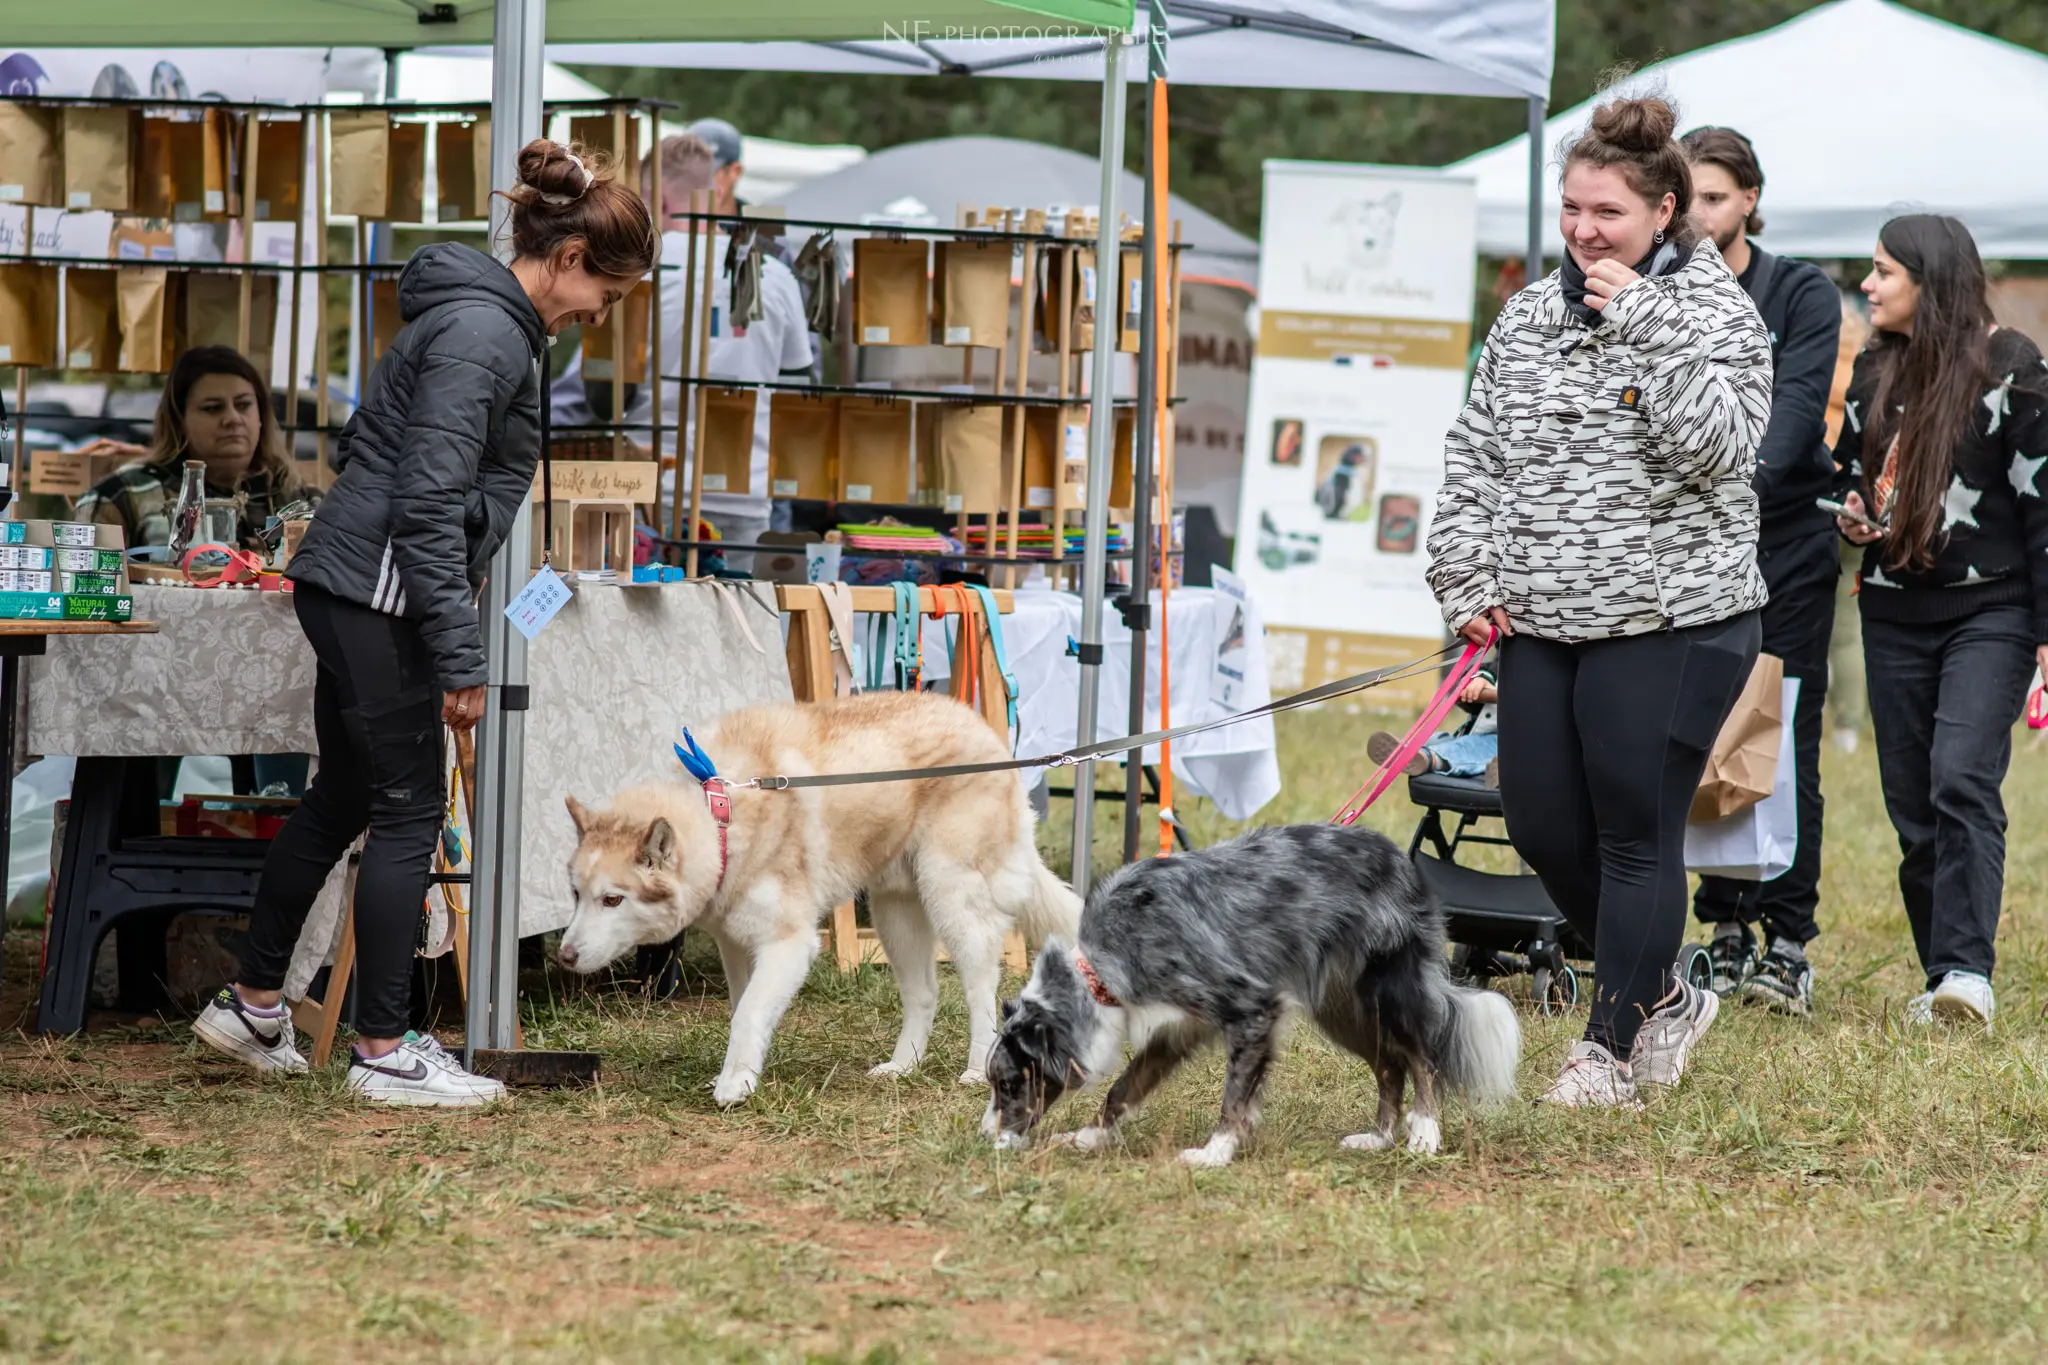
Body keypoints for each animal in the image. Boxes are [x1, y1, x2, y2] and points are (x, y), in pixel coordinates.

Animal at [552, 695, 1081, 1113]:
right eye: (576, 894)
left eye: (613, 899)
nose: (565, 956)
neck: (722, 817)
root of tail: (985, 731)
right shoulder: (736, 947)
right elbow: (743, 1009)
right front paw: (742, 1073)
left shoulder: (789, 944)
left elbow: (748, 1012)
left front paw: (734, 1085)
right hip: (896, 916)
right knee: (923, 993)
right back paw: (902, 1066)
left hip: (953, 900)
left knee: (980, 988)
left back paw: (976, 1069)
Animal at [983, 822, 1515, 1162]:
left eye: (1009, 1084)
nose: (985, 1135)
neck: (1100, 969)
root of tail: (1399, 858)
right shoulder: (1177, 1027)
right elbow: (1124, 1088)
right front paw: (1090, 1139)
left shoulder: (1251, 1009)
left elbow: (1235, 1095)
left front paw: (1215, 1152)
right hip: (1341, 1009)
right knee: (1389, 1066)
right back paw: (1379, 1138)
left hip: (1389, 992)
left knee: (1422, 1058)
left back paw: (1424, 1132)